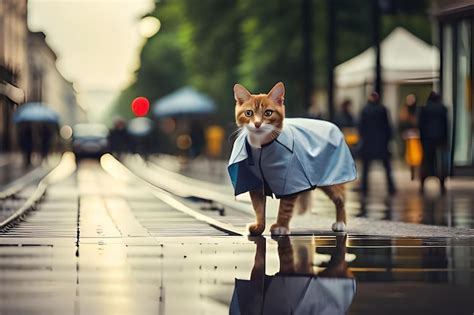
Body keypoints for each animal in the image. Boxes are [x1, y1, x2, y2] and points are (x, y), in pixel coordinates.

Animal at [232, 82, 348, 236]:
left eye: (268, 113)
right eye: (248, 113)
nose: (257, 124)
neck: (263, 147)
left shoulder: (289, 181)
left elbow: (285, 207)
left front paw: (281, 226)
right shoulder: (256, 184)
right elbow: (258, 209)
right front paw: (259, 227)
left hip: (328, 180)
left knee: (340, 197)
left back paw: (341, 222)